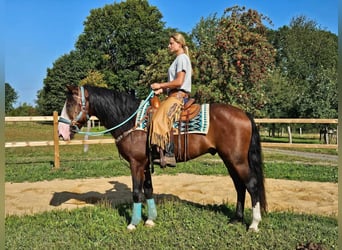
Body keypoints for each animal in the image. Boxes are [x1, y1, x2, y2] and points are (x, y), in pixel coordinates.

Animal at [58, 85, 268, 231]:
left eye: (70, 103)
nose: (61, 132)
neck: (131, 121)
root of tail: (245, 114)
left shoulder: (136, 163)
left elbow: (137, 192)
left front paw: (133, 224)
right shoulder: (145, 163)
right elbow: (149, 190)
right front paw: (150, 220)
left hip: (237, 160)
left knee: (251, 185)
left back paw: (254, 224)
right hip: (229, 159)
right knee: (239, 186)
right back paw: (236, 219)